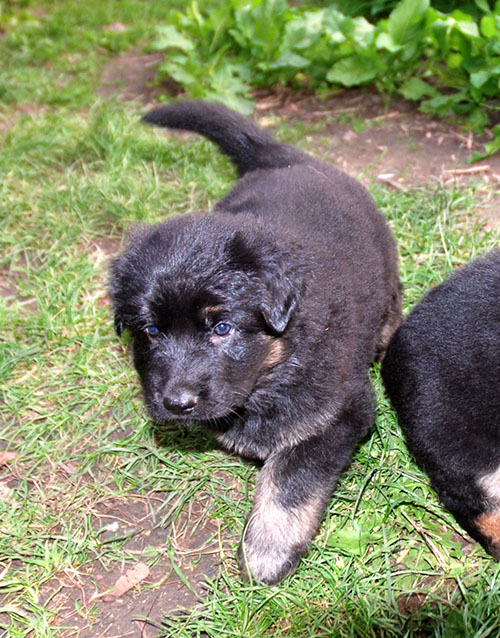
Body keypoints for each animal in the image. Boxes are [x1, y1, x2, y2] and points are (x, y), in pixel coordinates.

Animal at [110, 100, 402, 584]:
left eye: (221, 328)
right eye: (150, 331)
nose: (176, 404)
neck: (274, 368)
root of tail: (286, 158)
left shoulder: (343, 409)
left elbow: (289, 477)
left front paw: (268, 547)